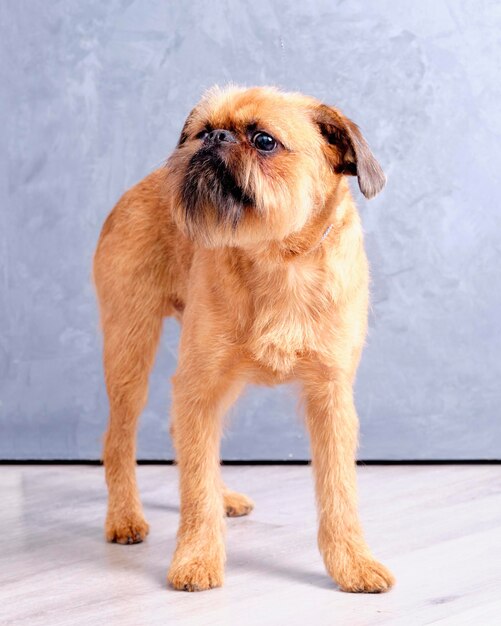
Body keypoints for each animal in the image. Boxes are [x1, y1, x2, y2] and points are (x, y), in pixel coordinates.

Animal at [93, 85, 394, 592]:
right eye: (200, 131)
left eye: (263, 140)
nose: (213, 137)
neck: (278, 258)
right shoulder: (198, 384)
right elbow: (195, 487)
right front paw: (197, 558)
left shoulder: (330, 396)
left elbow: (338, 489)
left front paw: (352, 562)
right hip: (130, 346)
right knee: (119, 439)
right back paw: (125, 517)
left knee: (180, 434)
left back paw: (223, 496)